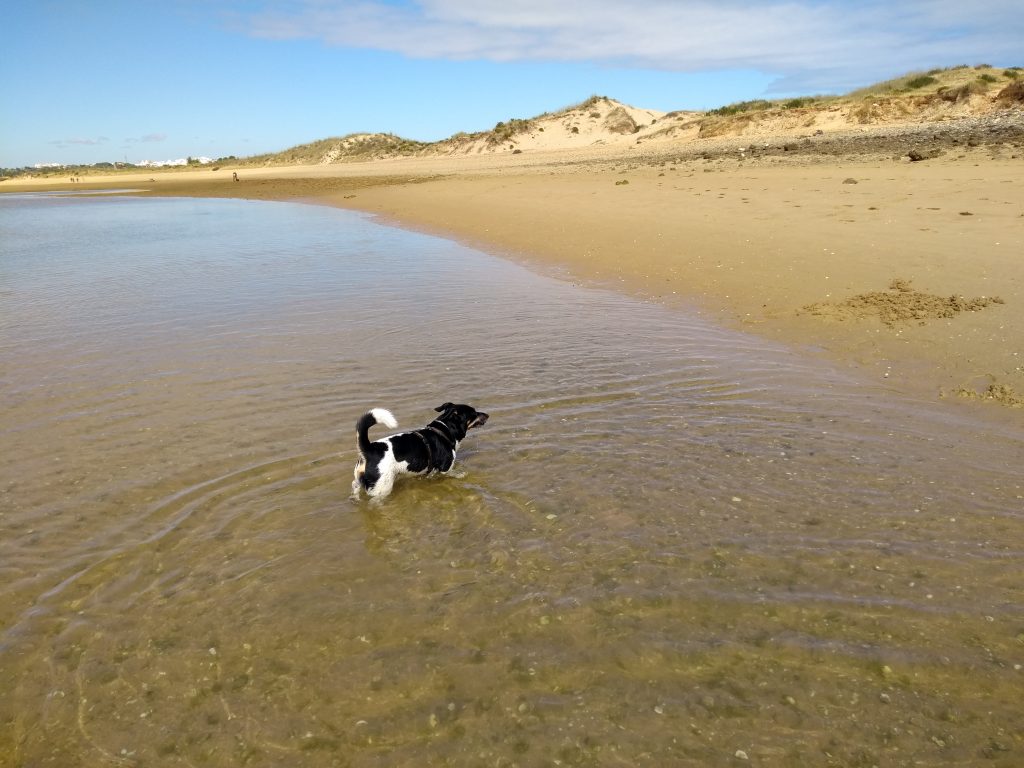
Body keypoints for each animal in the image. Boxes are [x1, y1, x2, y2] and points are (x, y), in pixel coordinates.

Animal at [352, 403, 489, 500]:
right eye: (474, 413)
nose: (488, 415)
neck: (445, 429)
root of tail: (369, 449)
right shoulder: (445, 468)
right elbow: (451, 473)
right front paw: (460, 475)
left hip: (360, 479)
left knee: (355, 486)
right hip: (382, 486)